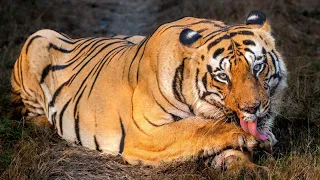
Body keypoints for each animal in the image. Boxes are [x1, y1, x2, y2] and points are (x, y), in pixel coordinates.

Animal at [10, 10, 288, 168]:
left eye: (258, 66)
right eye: (222, 76)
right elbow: (198, 128)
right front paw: (255, 139)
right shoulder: (145, 134)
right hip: (38, 37)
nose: (252, 108)